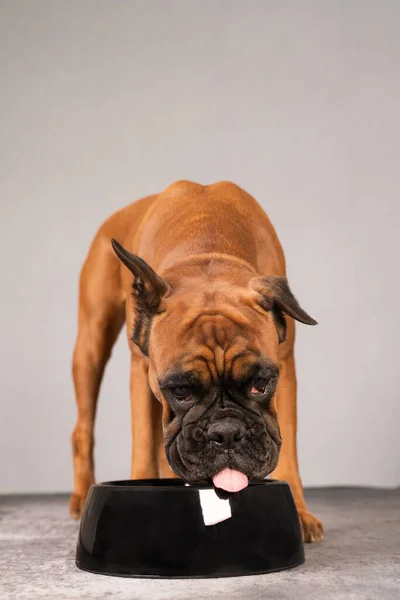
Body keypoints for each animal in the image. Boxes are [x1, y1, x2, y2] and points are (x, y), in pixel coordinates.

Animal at [69, 180, 322, 540]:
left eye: (260, 385)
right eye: (180, 391)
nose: (227, 432)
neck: (207, 250)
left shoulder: (284, 370)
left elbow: (288, 452)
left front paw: (299, 514)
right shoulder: (142, 373)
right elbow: (144, 449)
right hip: (91, 346)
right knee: (83, 428)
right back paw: (80, 495)